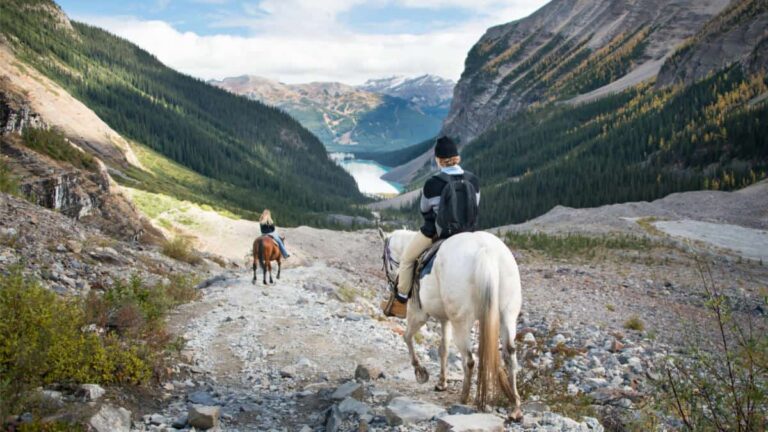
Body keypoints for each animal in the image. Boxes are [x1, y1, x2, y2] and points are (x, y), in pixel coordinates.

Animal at [378, 230, 520, 418]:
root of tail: (486, 250)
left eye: (383, 258)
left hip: (461, 321)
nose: (390, 284)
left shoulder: (419, 313)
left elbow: (407, 337)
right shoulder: (445, 319)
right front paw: (442, 382)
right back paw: (515, 406)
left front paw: (420, 372)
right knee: (509, 355)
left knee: (469, 359)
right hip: (507, 316)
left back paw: (463, 398)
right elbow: (443, 349)